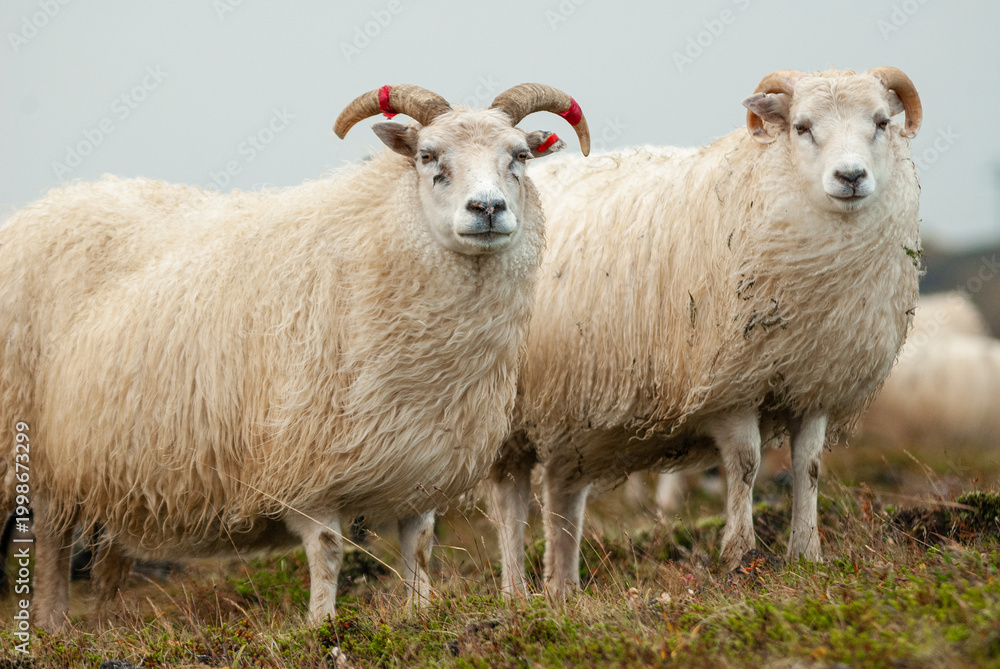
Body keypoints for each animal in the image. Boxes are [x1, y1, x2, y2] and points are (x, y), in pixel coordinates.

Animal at [0, 83, 591, 628]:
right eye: (428, 156)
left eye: (520, 156)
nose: (487, 209)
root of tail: (49, 205)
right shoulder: (306, 461)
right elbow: (327, 552)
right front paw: (320, 625)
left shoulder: (420, 463)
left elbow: (419, 548)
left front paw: (421, 615)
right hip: (39, 449)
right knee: (50, 544)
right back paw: (52, 627)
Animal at [485, 67, 923, 597]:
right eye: (801, 127)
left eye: (880, 122)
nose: (852, 177)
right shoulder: (730, 388)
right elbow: (746, 464)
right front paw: (740, 556)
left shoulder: (812, 383)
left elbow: (810, 466)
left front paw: (807, 554)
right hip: (508, 413)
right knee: (509, 501)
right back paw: (516, 591)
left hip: (573, 410)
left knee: (562, 494)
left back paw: (563, 590)